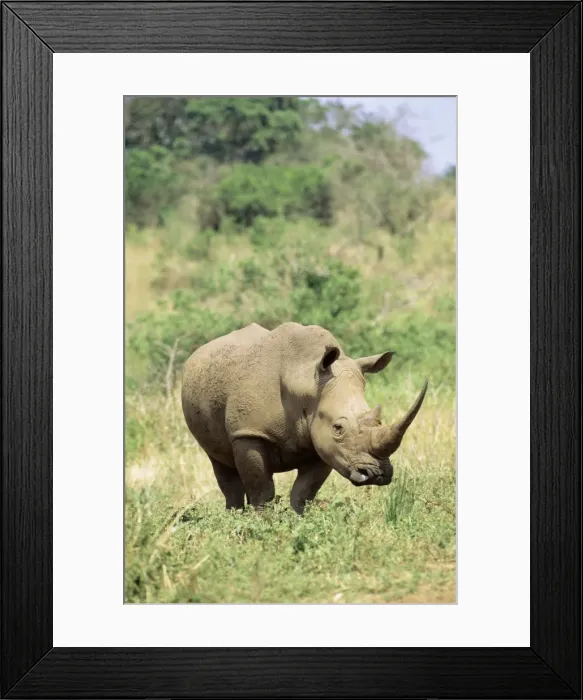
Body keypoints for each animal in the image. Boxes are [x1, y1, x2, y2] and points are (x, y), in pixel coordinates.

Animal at [182, 322, 427, 514]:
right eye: (338, 427)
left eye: (379, 421)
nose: (377, 474)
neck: (306, 382)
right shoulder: (249, 433)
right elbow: (262, 492)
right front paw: (261, 527)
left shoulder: (321, 441)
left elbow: (303, 494)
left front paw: (299, 522)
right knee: (221, 464)